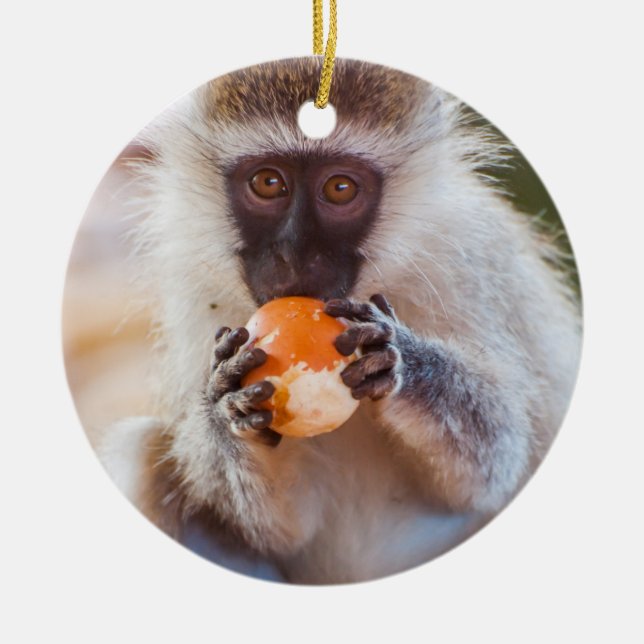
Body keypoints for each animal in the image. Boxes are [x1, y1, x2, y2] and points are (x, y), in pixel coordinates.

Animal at [97, 58, 582, 584]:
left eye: (340, 188)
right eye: (268, 183)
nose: (294, 255)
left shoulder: (470, 260)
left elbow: (492, 464)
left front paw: (401, 362)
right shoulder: (192, 286)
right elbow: (283, 529)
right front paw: (228, 405)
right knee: (144, 450)